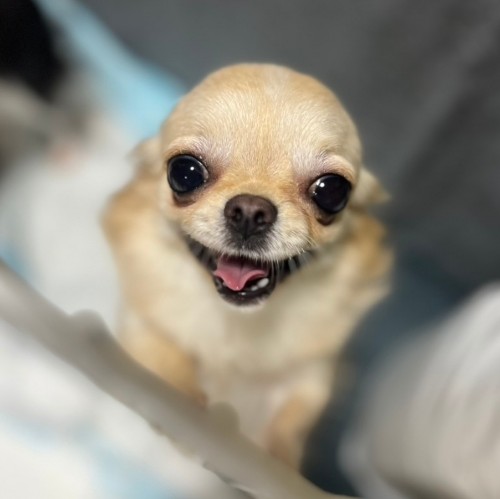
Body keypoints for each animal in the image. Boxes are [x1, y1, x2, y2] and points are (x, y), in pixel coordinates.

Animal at [104, 63, 391, 468]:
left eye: (332, 190)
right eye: (185, 172)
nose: (251, 211)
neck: (237, 324)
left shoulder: (312, 372)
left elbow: (292, 417)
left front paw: (276, 458)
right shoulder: (141, 325)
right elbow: (165, 360)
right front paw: (189, 412)